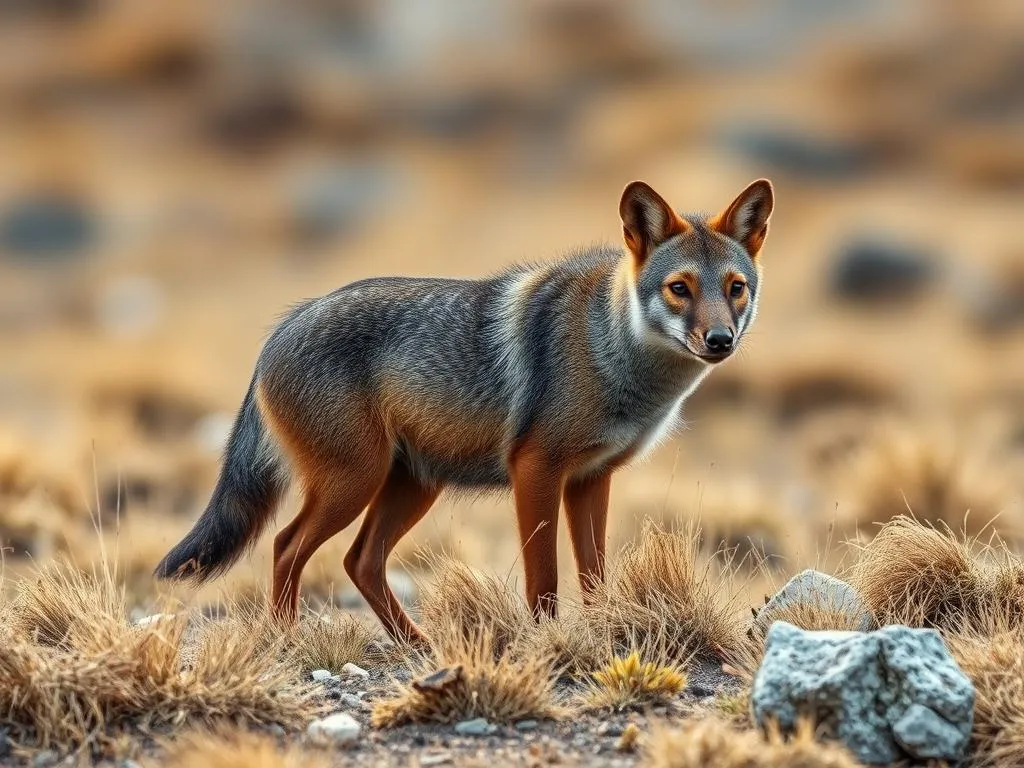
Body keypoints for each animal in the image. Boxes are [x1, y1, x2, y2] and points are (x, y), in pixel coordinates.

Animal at [155, 180, 770, 643]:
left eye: (735, 288)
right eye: (679, 288)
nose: (720, 340)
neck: (612, 353)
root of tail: (279, 331)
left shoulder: (591, 480)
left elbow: (593, 578)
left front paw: (603, 635)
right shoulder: (536, 471)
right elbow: (544, 581)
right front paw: (549, 644)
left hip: (410, 487)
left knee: (359, 562)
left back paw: (416, 646)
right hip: (353, 484)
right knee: (286, 546)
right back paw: (288, 640)